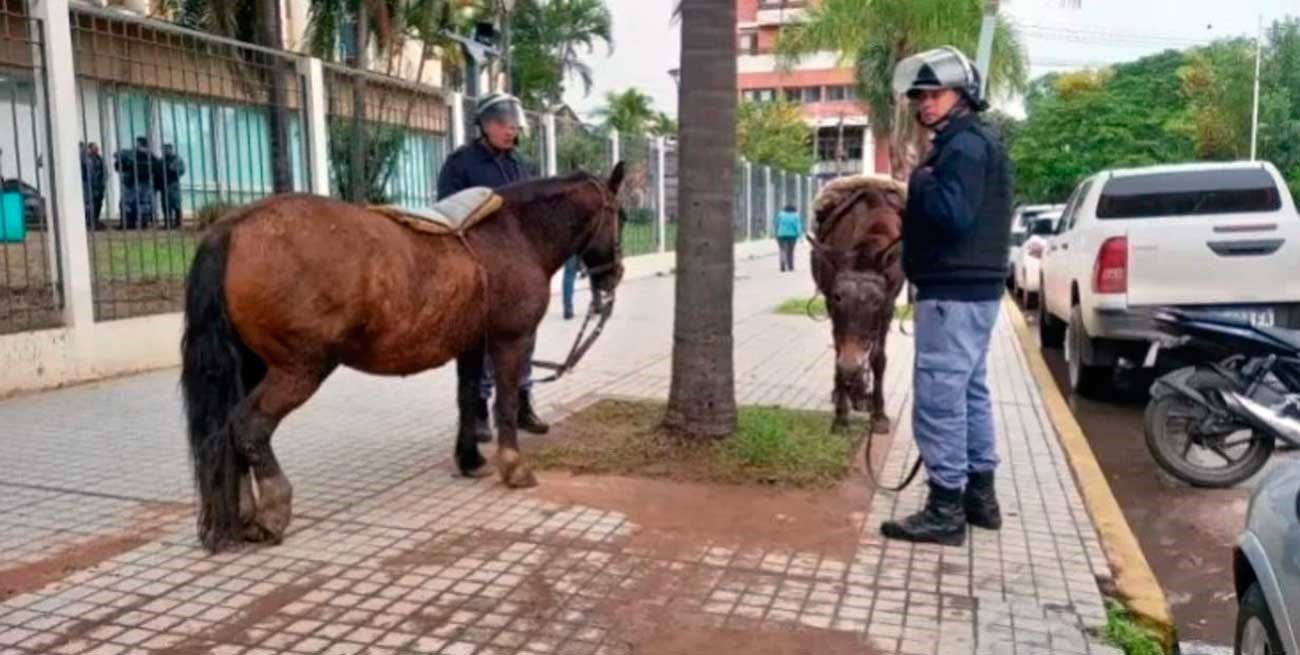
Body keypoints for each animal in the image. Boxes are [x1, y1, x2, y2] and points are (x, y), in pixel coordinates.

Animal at [180, 165, 627, 553]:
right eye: (620, 215)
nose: (613, 276)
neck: (513, 233)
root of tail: (233, 227)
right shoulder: (509, 341)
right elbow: (504, 404)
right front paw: (513, 467)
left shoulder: (471, 344)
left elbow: (468, 399)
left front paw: (469, 459)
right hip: (299, 369)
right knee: (249, 425)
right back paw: (273, 511)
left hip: (252, 365)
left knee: (227, 428)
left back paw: (242, 511)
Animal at [807, 174, 907, 435]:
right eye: (838, 296)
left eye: (876, 300)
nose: (850, 365)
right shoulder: (830, 304)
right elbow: (838, 351)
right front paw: (841, 416)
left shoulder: (888, 306)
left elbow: (878, 359)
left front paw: (879, 414)